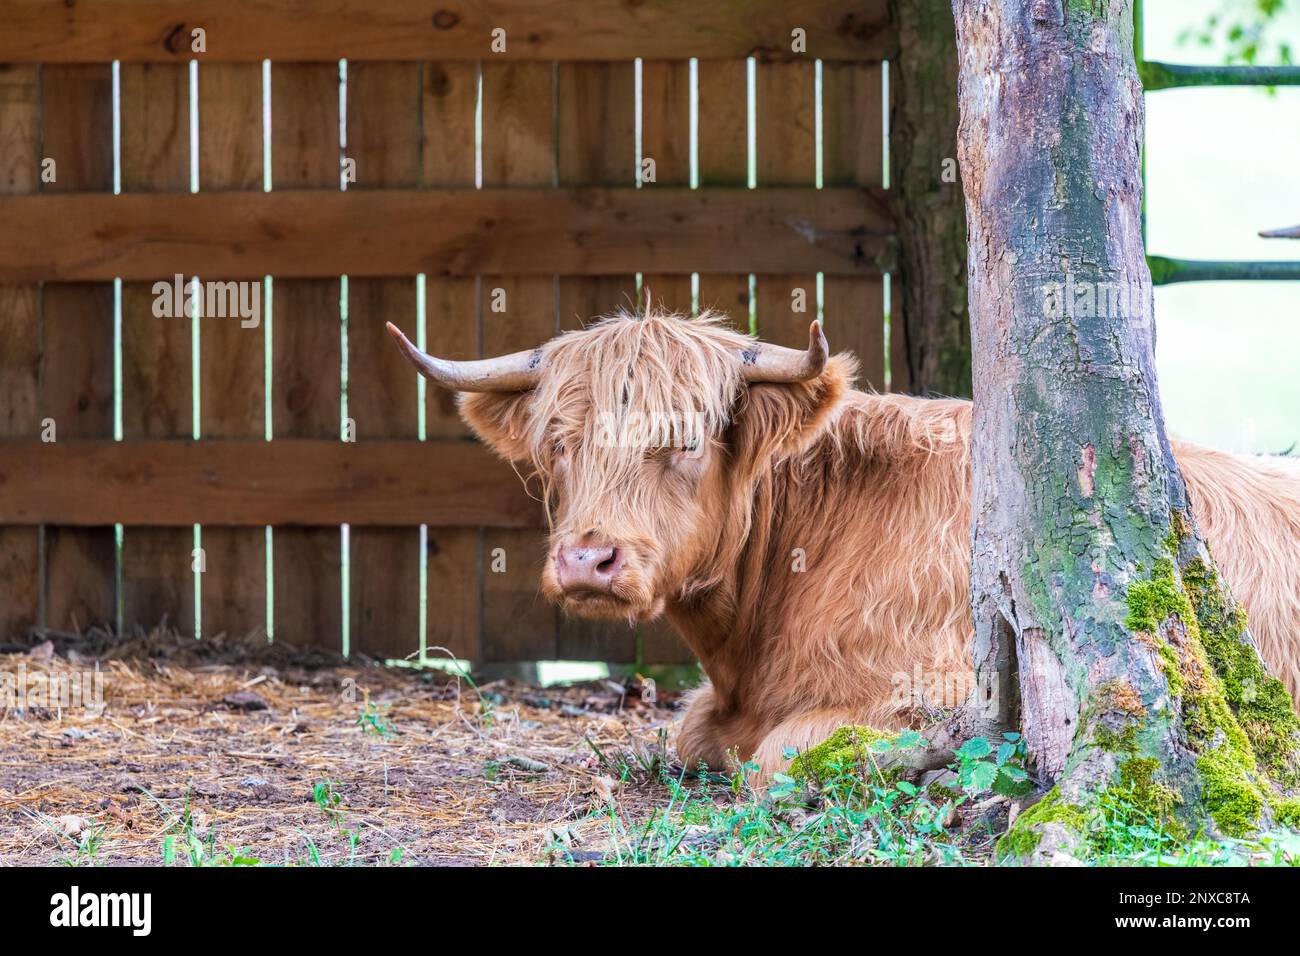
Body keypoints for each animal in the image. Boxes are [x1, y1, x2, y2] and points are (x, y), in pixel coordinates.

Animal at [387, 309, 1300, 779]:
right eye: (559, 443)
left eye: (686, 440)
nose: (587, 560)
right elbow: (694, 736)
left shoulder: (937, 685)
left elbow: (776, 759)